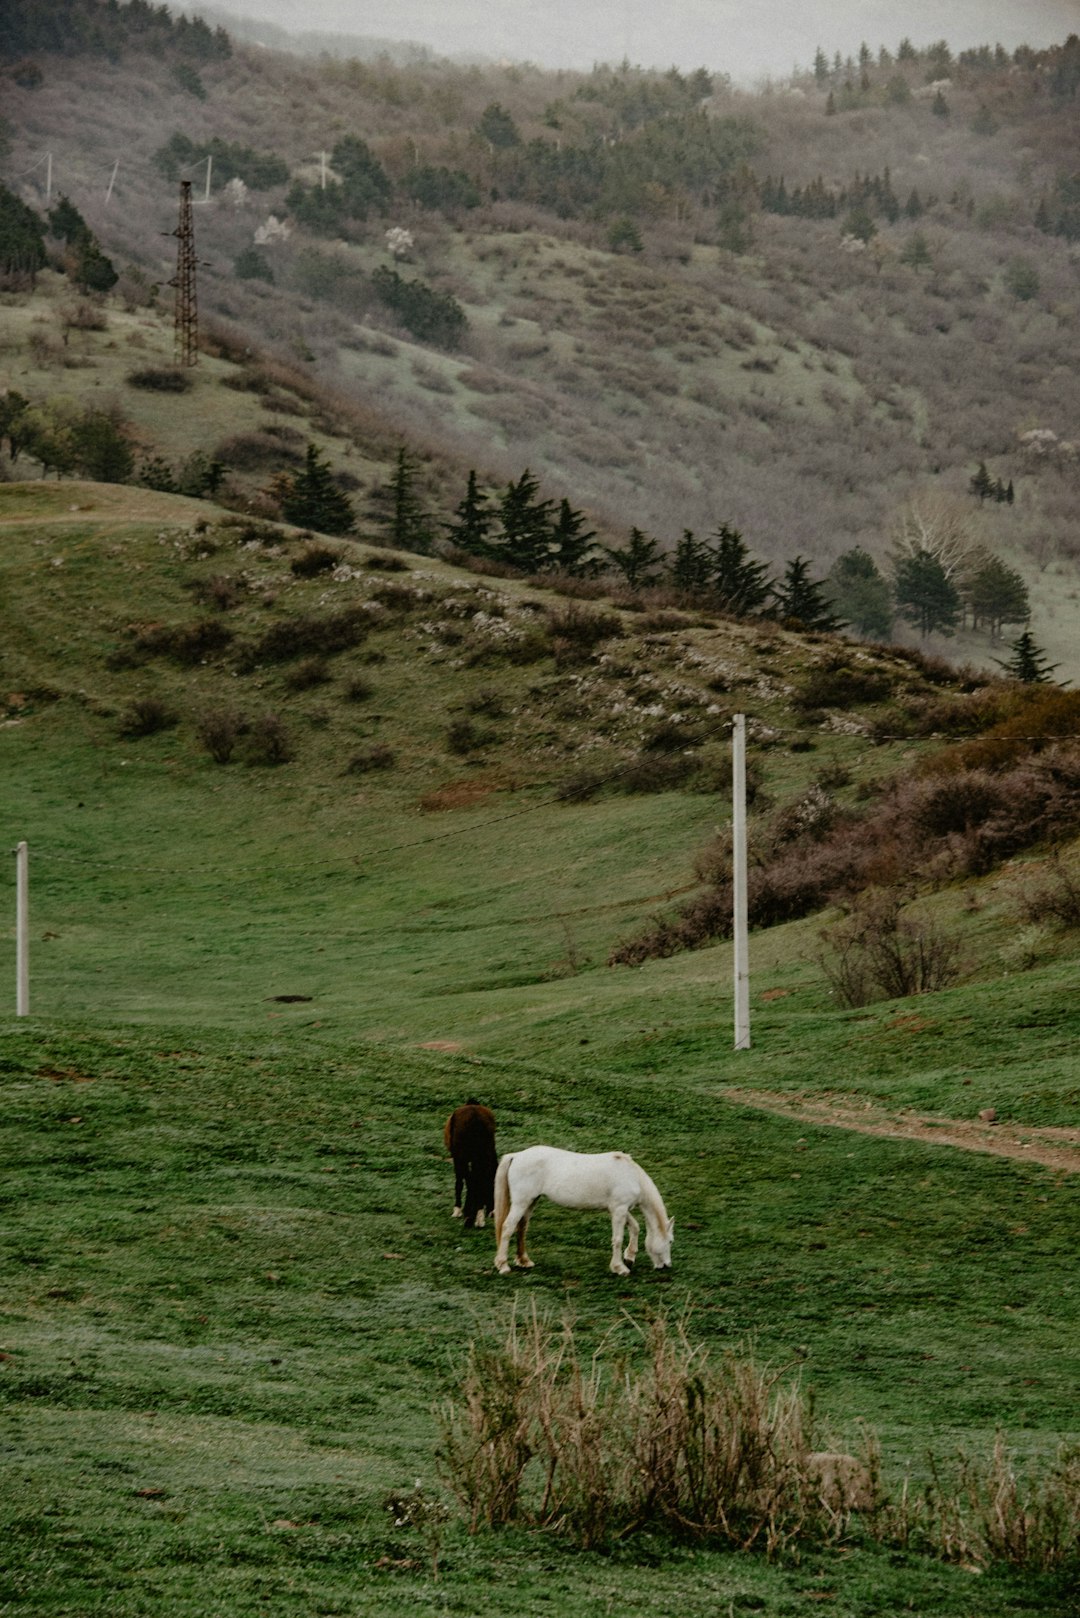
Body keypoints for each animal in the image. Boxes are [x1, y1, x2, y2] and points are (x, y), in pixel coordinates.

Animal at [495, 1145, 676, 1281]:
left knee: (522, 1227)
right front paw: (619, 1267)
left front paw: (629, 1258)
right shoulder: (619, 1210)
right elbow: (617, 1239)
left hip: (531, 1201)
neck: (631, 1175)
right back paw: (503, 1265)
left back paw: (524, 1261)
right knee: (508, 1227)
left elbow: (635, 1227)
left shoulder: (618, 1209)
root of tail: (517, 1156)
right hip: (521, 1203)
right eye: (670, 1241)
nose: (666, 1265)